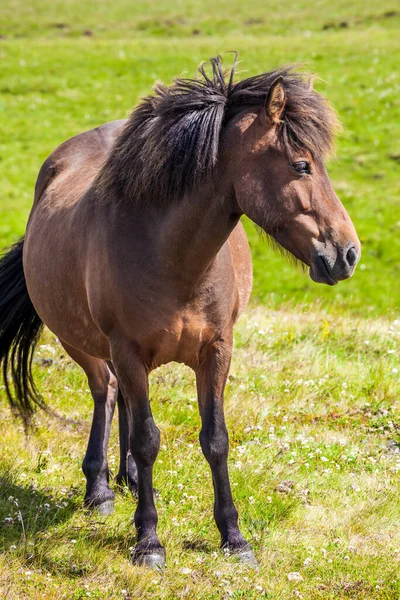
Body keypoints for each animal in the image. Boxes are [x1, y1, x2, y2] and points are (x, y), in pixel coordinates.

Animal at [0, 55, 360, 568]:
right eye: (301, 165)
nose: (348, 253)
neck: (172, 258)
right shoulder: (127, 350)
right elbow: (149, 439)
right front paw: (149, 540)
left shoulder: (217, 350)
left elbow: (215, 439)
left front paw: (234, 538)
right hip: (80, 343)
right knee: (105, 393)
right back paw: (100, 489)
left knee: (122, 402)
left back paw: (127, 481)